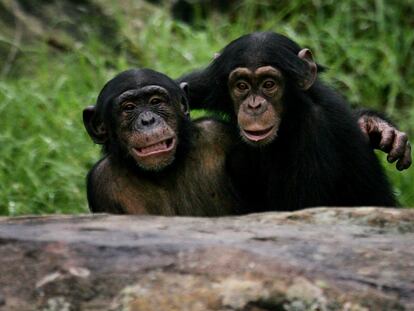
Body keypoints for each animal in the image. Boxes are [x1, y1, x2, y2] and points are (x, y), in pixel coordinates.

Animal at [83, 68, 239, 216]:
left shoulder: (217, 133)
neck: (164, 172)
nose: (148, 120)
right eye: (129, 107)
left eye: (155, 101)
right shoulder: (101, 180)